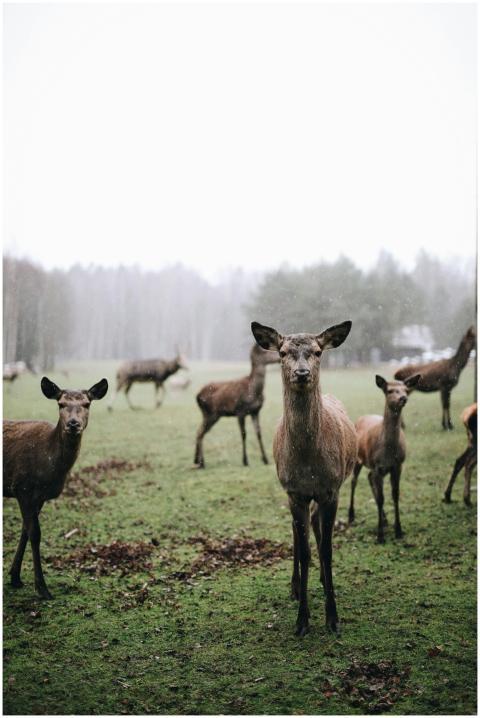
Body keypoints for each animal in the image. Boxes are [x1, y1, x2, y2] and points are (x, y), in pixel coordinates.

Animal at [3, 376, 108, 599]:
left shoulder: (40, 496)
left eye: (87, 404)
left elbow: (25, 530)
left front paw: (15, 577)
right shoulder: (22, 487)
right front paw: (42, 588)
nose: (73, 424)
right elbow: (35, 533)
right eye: (60, 404)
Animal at [251, 320, 357, 636]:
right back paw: (296, 586)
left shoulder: (331, 490)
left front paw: (332, 618)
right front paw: (302, 621)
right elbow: (306, 549)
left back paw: (320, 580)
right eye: (283, 352)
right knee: (297, 534)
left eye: (318, 351)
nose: (301, 373)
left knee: (315, 528)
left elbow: (327, 550)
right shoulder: (294, 492)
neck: (309, 462)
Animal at [348, 374, 420, 543]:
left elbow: (395, 495)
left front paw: (398, 530)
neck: (388, 452)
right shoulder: (376, 465)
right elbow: (381, 498)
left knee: (368, 478)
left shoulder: (398, 465)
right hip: (358, 459)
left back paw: (385, 519)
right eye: (389, 390)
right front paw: (380, 536)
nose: (403, 398)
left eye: (406, 389)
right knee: (354, 481)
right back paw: (351, 516)